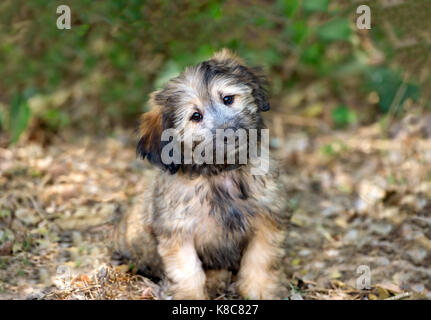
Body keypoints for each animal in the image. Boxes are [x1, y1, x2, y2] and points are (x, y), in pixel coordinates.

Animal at [115, 48, 290, 298]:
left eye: (227, 99)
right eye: (195, 116)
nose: (230, 133)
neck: (221, 173)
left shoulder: (266, 219)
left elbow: (261, 260)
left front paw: (260, 290)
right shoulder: (178, 232)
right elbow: (187, 272)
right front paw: (190, 296)